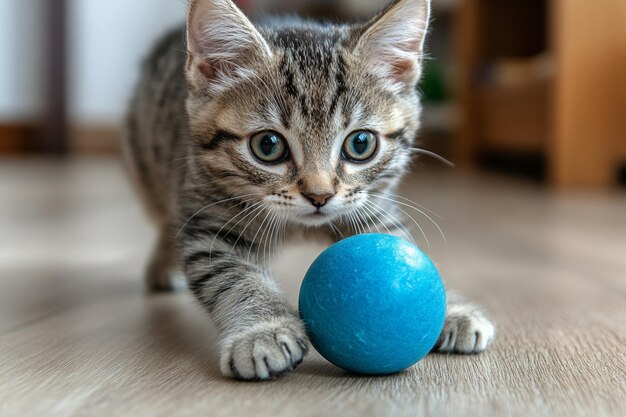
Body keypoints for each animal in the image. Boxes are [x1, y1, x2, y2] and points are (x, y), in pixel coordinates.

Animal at [122, 0, 492, 380]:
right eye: (267, 146)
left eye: (361, 144)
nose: (320, 195)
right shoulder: (209, 220)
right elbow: (234, 276)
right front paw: (263, 330)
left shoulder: (371, 206)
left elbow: (399, 244)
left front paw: (451, 308)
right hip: (147, 166)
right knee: (167, 216)